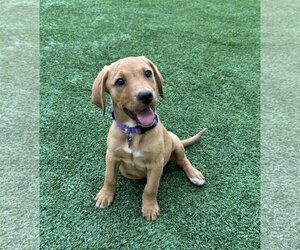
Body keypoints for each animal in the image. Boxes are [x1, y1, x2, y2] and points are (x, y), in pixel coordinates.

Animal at [92, 56, 206, 221]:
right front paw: (105, 195)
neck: (133, 132)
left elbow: (150, 188)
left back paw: (194, 175)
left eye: (148, 73)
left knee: (183, 160)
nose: (146, 95)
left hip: (175, 141)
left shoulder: (156, 164)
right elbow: (109, 177)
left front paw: (150, 208)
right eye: (120, 81)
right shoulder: (111, 156)